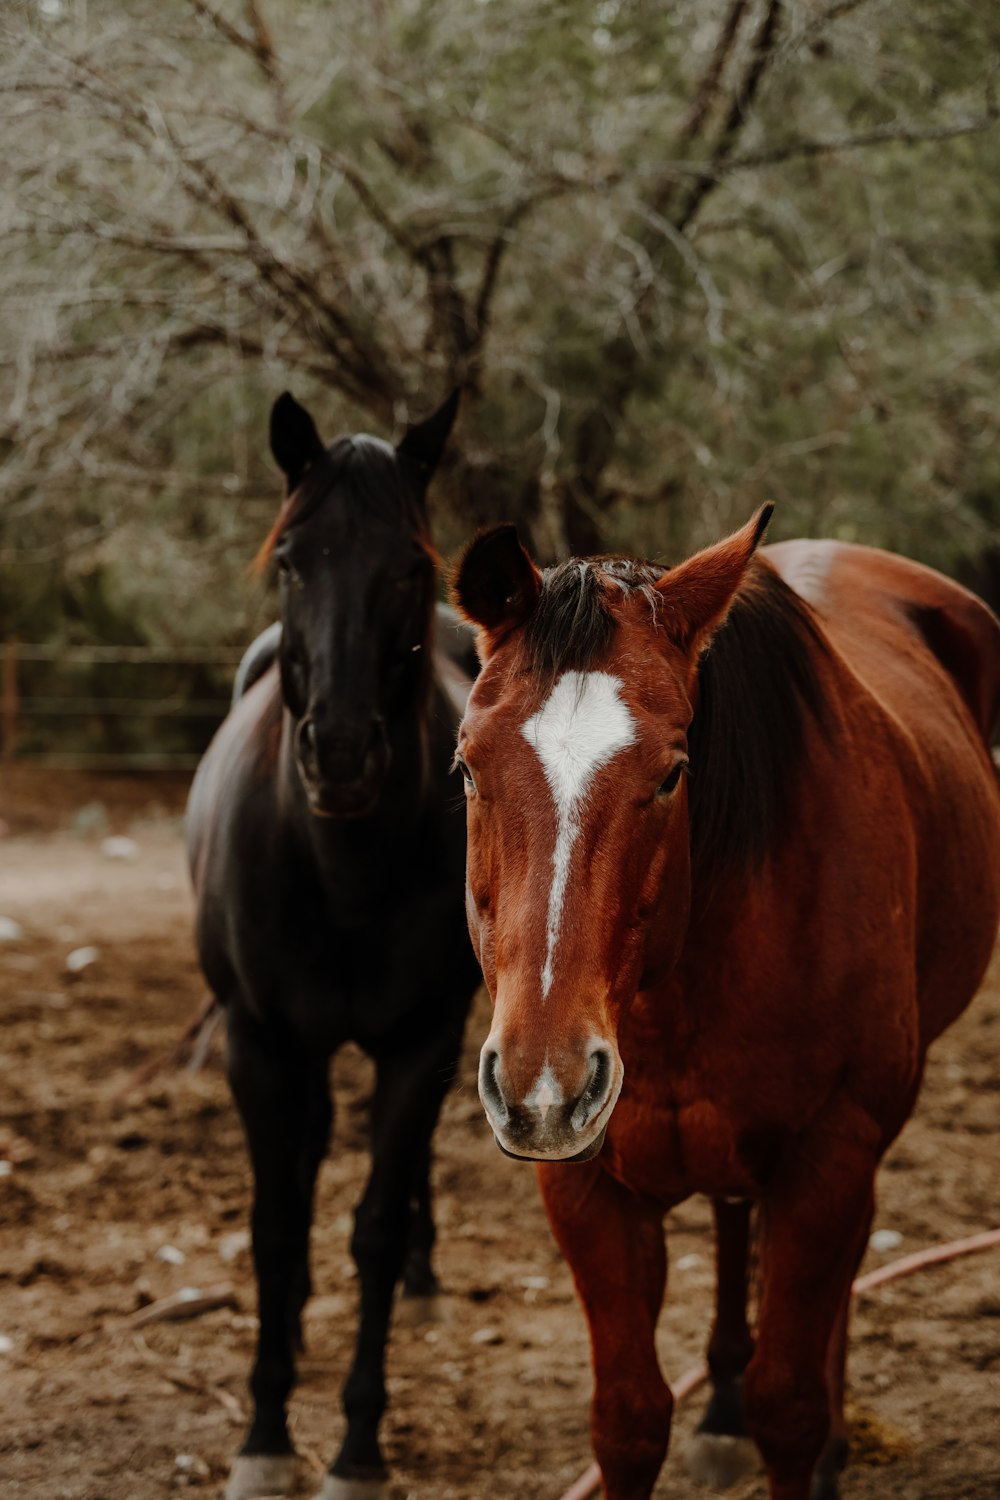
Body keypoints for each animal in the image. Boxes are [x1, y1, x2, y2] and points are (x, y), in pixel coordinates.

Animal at [191, 390, 485, 1500]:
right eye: (290, 560)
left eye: (407, 565)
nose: (344, 752)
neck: (344, 868)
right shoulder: (260, 1043)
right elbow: (276, 1227)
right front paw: (266, 1431)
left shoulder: (422, 1041)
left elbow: (377, 1224)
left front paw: (359, 1445)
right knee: (308, 1160)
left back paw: (424, 1281)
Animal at [452, 510, 1000, 1494]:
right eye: (468, 767)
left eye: (673, 771)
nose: (545, 1088)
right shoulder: (585, 1190)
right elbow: (628, 1422)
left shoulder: (828, 1161)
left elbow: (789, 1408)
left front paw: (805, 1435)